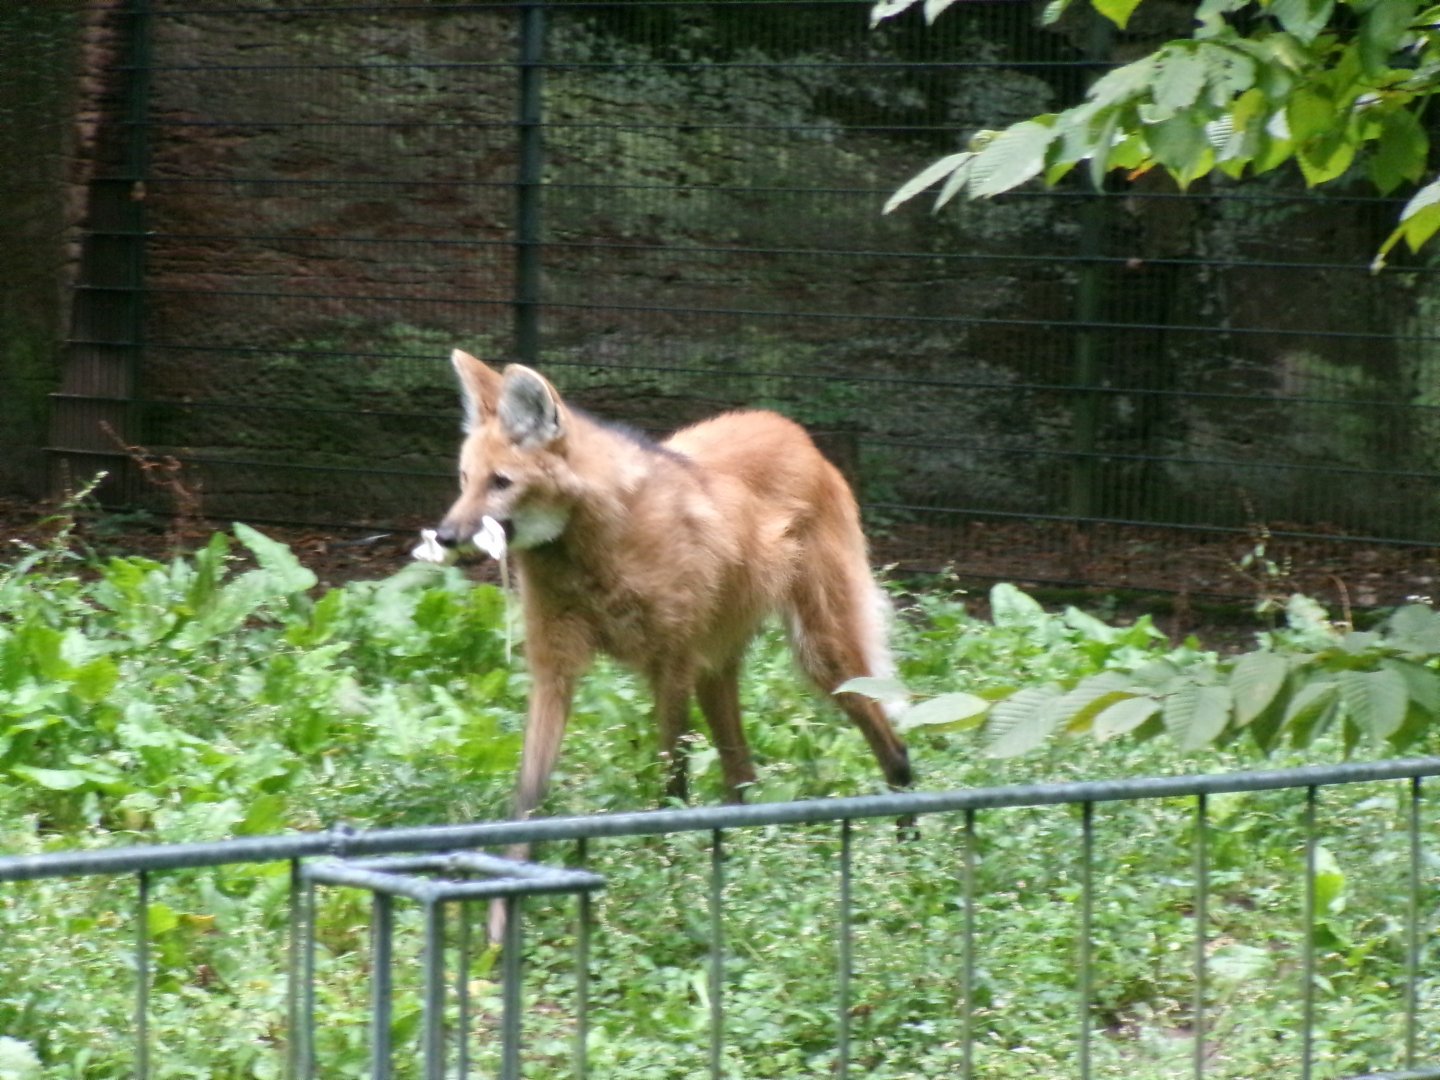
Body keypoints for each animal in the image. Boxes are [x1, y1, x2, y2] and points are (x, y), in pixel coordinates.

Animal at [432, 349, 912, 828]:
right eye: (464, 478)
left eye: (501, 482)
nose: (445, 535)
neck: (588, 553)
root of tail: (795, 432)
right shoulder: (555, 667)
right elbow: (527, 799)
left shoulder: (672, 662)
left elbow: (672, 786)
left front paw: (666, 844)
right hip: (716, 660)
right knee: (742, 774)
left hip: (821, 650)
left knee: (893, 747)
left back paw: (904, 830)